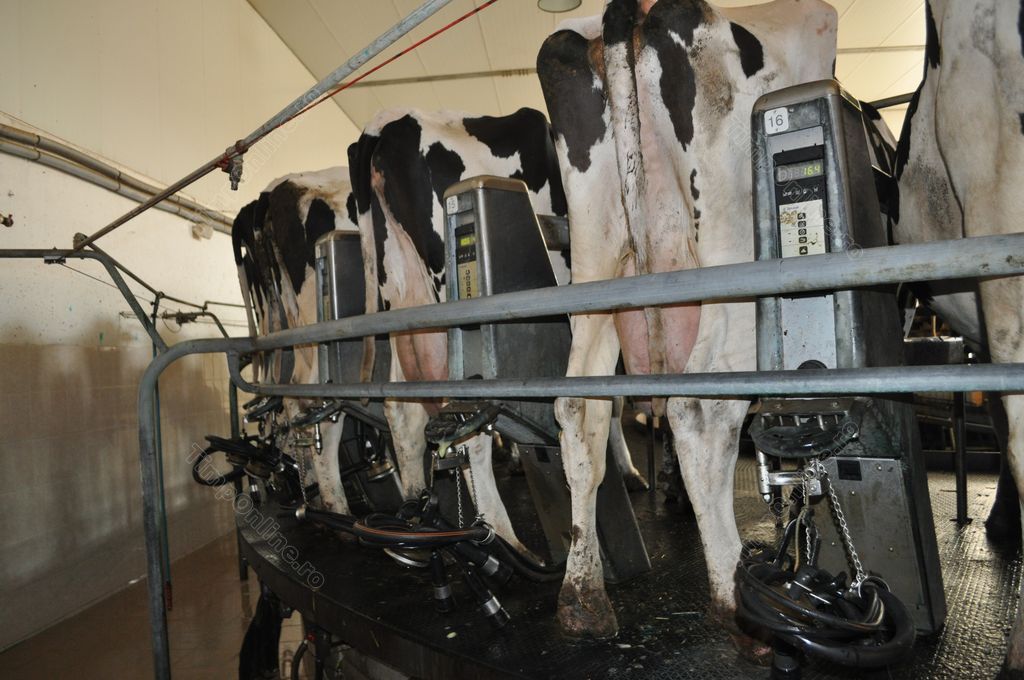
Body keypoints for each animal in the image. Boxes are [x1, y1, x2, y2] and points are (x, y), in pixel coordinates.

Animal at [348, 106, 649, 558]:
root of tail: (388, 120)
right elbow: (610, 397)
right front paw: (630, 471)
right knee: (467, 428)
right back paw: (504, 538)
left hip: (401, 296)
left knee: (402, 411)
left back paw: (415, 520)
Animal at [537, 0, 837, 658]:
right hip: (731, 261)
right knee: (701, 407)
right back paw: (736, 598)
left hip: (600, 258)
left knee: (578, 406)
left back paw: (582, 597)